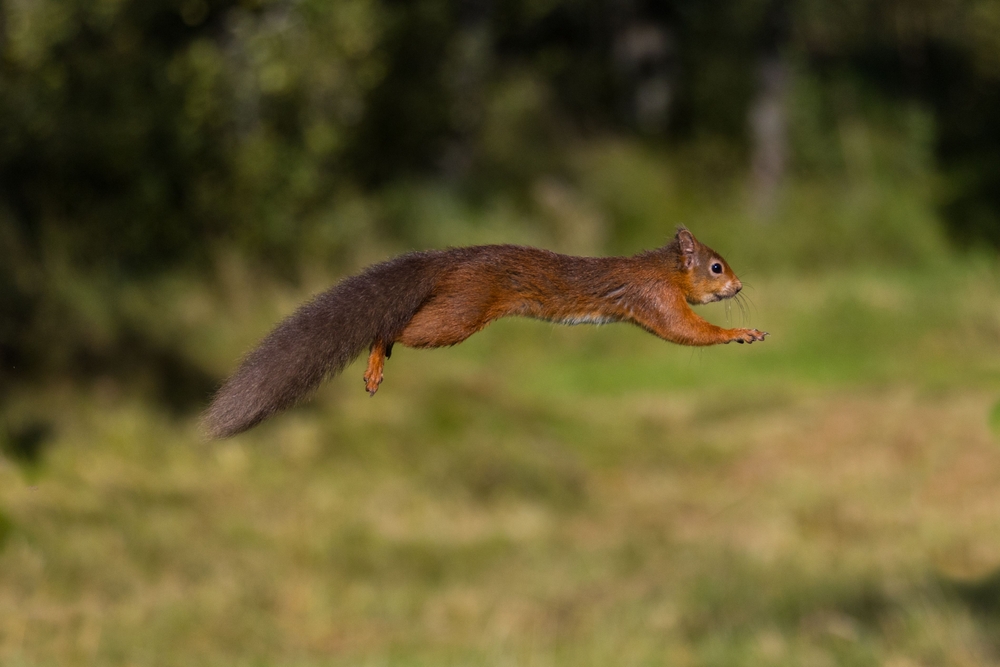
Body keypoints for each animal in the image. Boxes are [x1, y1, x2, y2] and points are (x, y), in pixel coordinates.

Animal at [203, 228, 767, 438]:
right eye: (716, 267)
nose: (739, 285)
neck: (663, 270)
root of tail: (449, 261)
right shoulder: (656, 301)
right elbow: (687, 331)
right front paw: (740, 332)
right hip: (458, 316)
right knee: (394, 326)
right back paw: (376, 360)